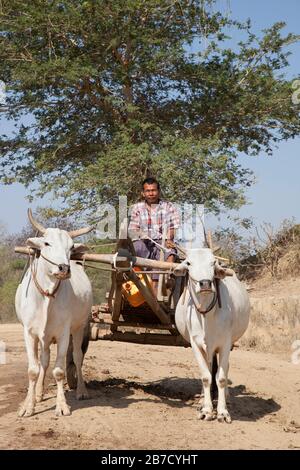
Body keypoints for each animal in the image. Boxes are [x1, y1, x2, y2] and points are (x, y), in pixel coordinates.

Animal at [14, 211, 92, 416]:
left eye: (71, 247)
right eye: (47, 243)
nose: (64, 268)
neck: (46, 295)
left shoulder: (64, 333)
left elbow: (59, 371)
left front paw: (62, 405)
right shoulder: (29, 333)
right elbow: (34, 369)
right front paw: (28, 405)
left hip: (79, 328)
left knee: (78, 357)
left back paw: (82, 390)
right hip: (45, 336)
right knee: (44, 361)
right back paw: (39, 393)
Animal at [175, 248, 250, 424]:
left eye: (213, 262)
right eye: (188, 263)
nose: (205, 284)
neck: (206, 315)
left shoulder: (225, 344)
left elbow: (221, 378)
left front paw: (222, 412)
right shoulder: (195, 345)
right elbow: (206, 377)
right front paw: (207, 410)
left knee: (224, 369)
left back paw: (226, 397)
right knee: (208, 370)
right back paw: (203, 398)